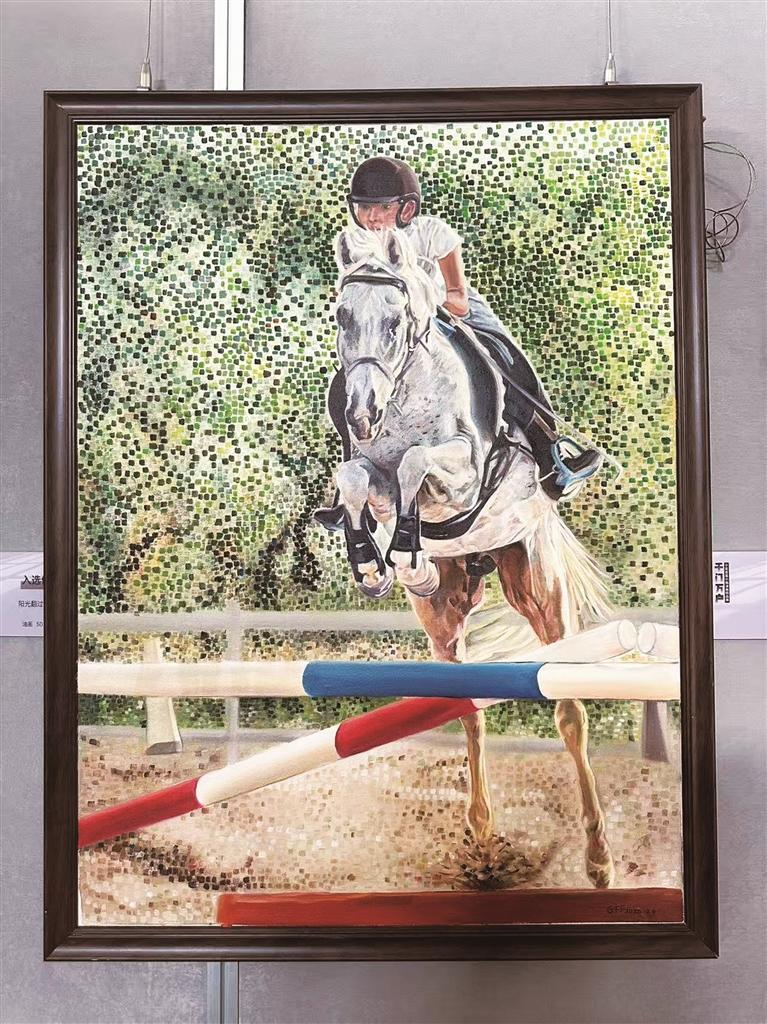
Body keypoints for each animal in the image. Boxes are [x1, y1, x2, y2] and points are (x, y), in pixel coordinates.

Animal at [327, 225, 615, 888]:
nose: (361, 412)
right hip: (447, 611)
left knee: (569, 713)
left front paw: (403, 550)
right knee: (465, 709)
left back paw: (598, 859)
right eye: (342, 316)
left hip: (538, 586)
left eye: (397, 319)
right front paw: (373, 561)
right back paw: (482, 838)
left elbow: (416, 463)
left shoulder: (463, 471)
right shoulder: (371, 475)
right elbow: (357, 477)